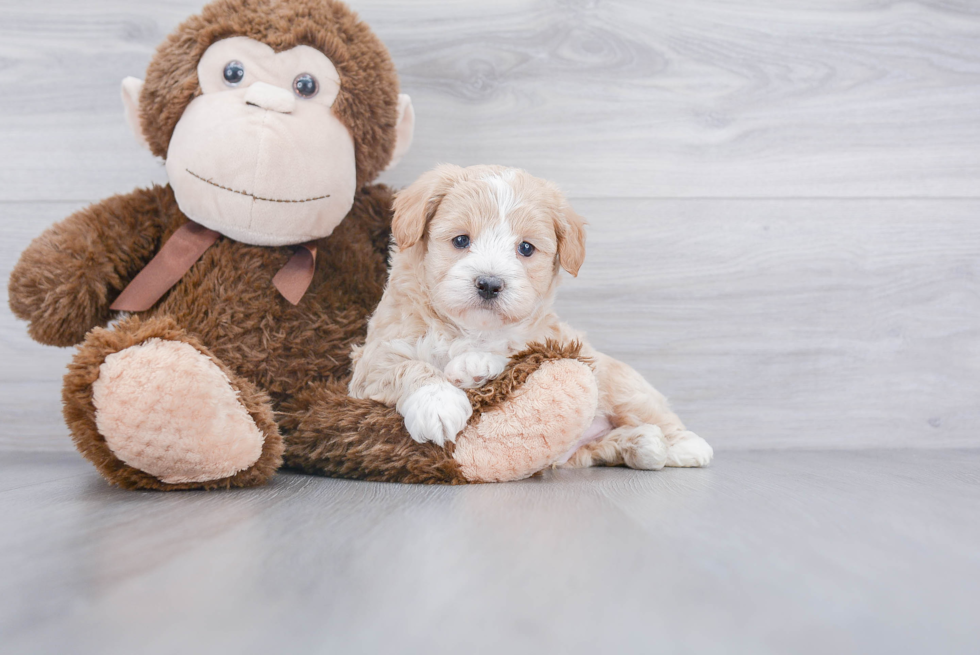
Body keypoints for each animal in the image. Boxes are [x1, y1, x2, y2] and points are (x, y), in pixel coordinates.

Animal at [352, 165, 712, 472]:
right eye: (461, 240)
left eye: (525, 248)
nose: (489, 283)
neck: (470, 330)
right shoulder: (370, 361)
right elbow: (405, 365)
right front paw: (437, 402)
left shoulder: (551, 341)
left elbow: (519, 351)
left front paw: (474, 365)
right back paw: (643, 443)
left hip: (617, 381)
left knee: (651, 410)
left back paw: (683, 445)